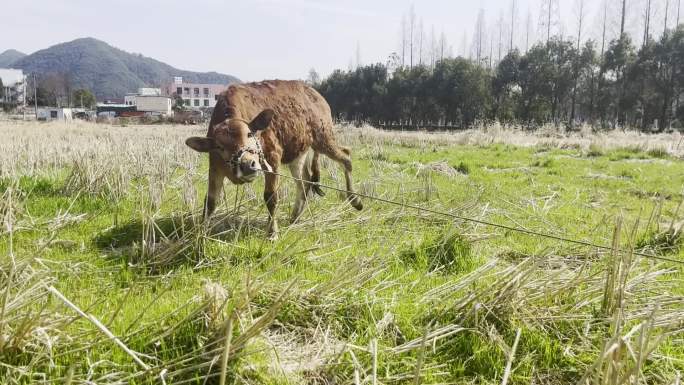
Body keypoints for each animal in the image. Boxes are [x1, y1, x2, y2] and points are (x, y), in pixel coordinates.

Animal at [184, 79, 360, 238]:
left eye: (250, 134)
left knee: (346, 156)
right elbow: (210, 201)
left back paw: (355, 200)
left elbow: (271, 197)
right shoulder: (214, 167)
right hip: (298, 154)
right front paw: (200, 234)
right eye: (220, 146)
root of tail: (315, 94)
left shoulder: (273, 158)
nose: (248, 165)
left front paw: (272, 232)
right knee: (305, 181)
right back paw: (295, 217)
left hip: (324, 138)